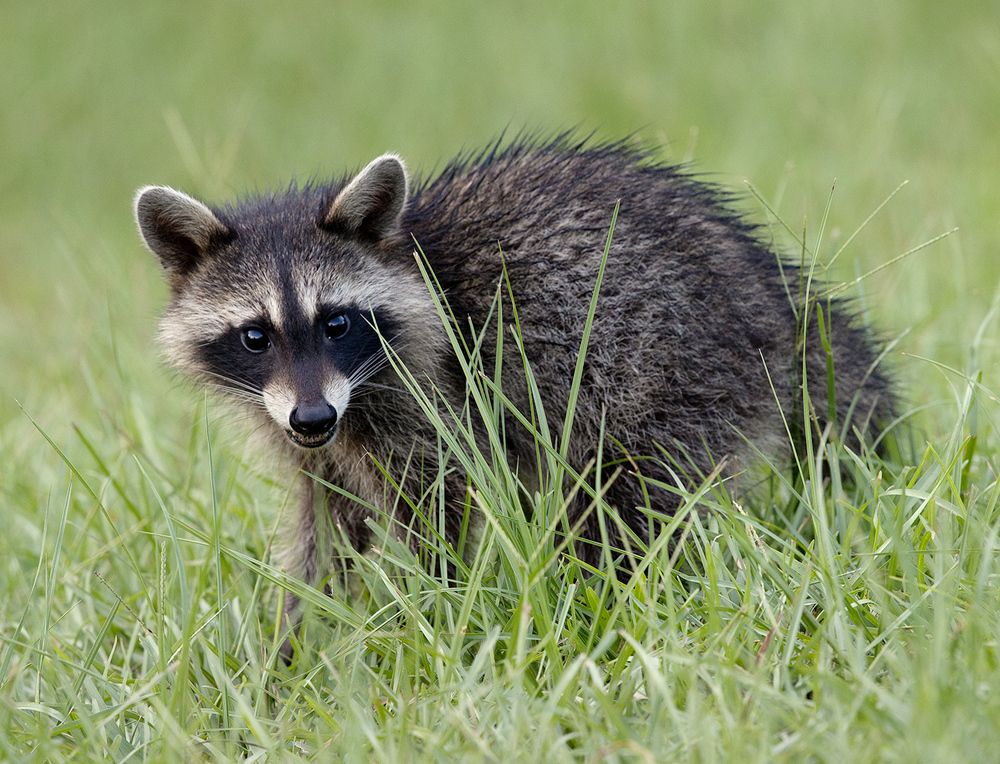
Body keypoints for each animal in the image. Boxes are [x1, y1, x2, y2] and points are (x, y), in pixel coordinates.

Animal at [134, 136, 891, 646]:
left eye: (337, 323)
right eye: (254, 336)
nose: (314, 416)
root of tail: (769, 288)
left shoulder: (425, 396)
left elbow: (437, 504)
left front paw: (437, 614)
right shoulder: (309, 436)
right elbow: (326, 529)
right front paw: (296, 645)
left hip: (664, 367)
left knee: (628, 504)